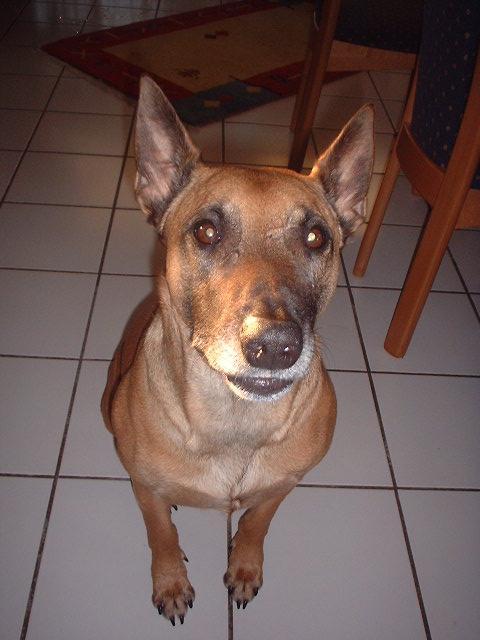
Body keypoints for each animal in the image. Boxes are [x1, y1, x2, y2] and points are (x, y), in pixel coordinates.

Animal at [101, 75, 374, 626]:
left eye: (317, 237)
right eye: (206, 231)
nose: (274, 345)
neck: (234, 421)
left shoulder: (282, 485)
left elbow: (257, 521)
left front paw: (245, 563)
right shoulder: (146, 489)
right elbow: (160, 532)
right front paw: (170, 580)